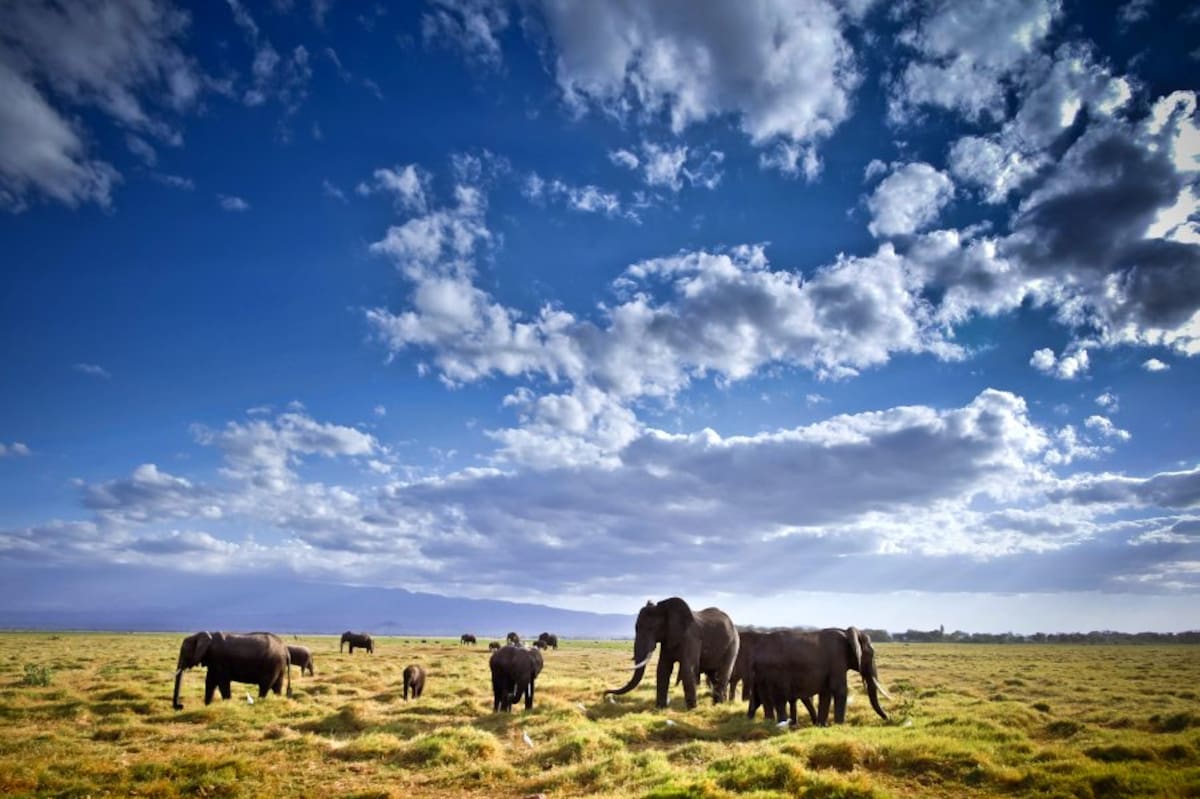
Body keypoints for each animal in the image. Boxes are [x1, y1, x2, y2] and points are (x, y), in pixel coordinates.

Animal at [604, 597, 739, 710]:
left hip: (733, 645)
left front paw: (691, 710)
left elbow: (687, 669)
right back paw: (718, 704)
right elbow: (663, 668)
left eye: (651, 628)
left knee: (723, 672)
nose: (606, 694)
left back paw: (719, 704)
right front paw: (660, 708)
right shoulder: (667, 638)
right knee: (713, 675)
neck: (666, 609)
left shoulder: (691, 638)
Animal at [747, 627, 890, 727]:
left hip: (762, 675)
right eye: (871, 653)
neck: (846, 633)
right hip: (775, 672)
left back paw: (770, 723)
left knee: (767, 699)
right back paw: (780, 725)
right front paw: (839, 726)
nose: (888, 718)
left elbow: (826, 693)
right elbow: (839, 690)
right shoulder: (837, 659)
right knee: (780, 698)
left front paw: (822, 726)